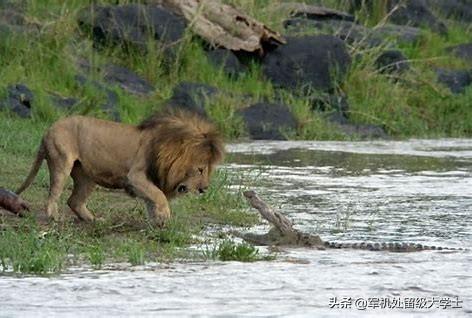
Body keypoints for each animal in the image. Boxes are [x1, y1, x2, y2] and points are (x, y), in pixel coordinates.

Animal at [15, 110, 226, 225]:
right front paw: (165, 216)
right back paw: (55, 217)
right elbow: (159, 195)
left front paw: (157, 221)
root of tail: (48, 130)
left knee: (74, 200)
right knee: (53, 195)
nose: (204, 189)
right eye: (200, 170)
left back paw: (93, 220)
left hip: (87, 177)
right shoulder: (135, 176)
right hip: (61, 161)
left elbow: (151, 201)